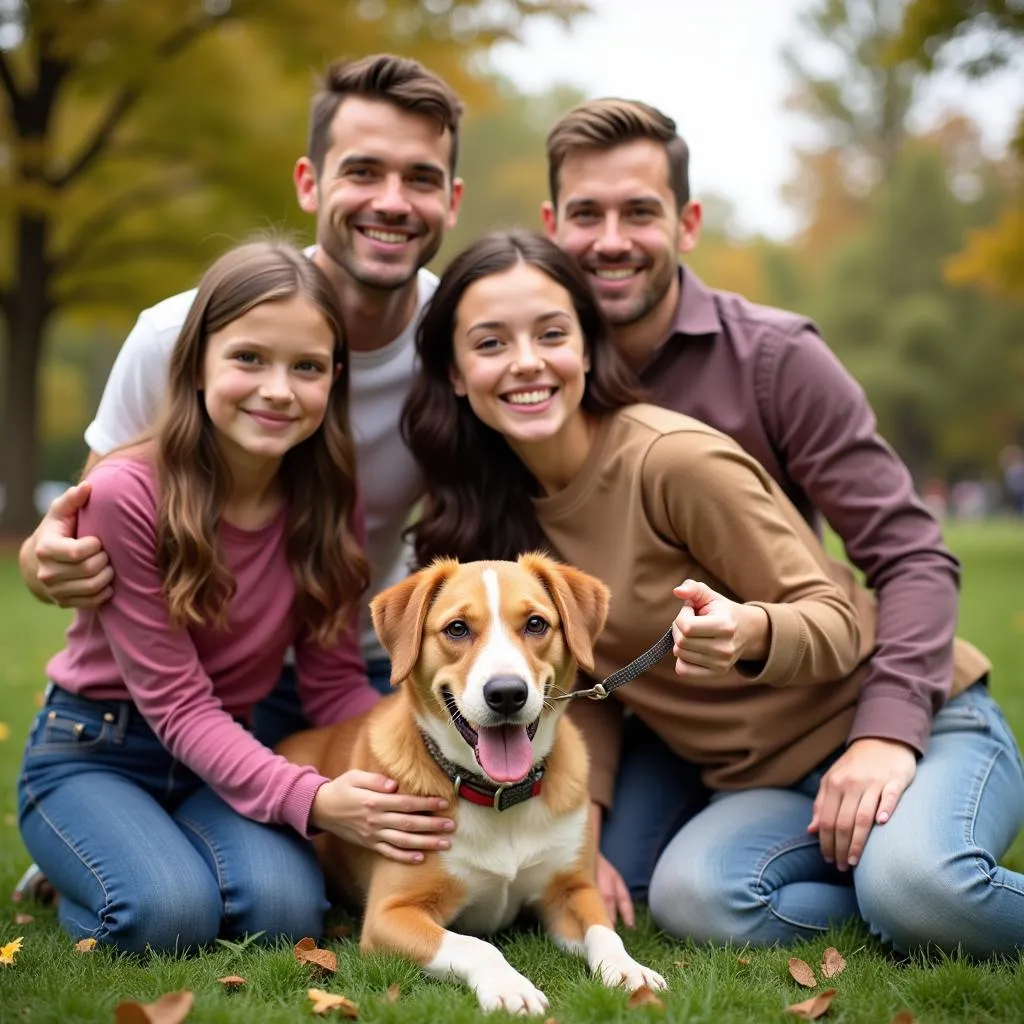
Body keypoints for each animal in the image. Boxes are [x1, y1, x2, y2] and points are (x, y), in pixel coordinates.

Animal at [276, 552, 667, 1007]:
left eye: (536, 624)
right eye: (457, 629)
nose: (507, 693)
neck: (498, 795)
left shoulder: (573, 889)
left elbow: (605, 931)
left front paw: (629, 969)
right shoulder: (390, 913)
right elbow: (477, 945)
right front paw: (510, 986)